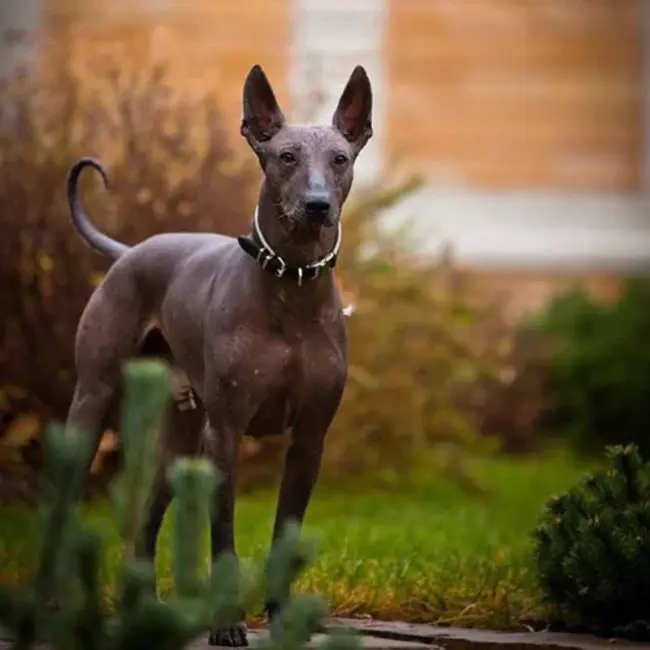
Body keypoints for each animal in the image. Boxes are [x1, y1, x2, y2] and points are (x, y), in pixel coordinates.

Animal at [66, 64, 372, 644]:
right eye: (286, 157)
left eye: (340, 159)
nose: (318, 204)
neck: (292, 285)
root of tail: (131, 251)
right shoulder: (225, 434)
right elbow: (223, 536)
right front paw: (228, 622)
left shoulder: (310, 439)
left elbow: (285, 534)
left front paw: (281, 617)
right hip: (92, 402)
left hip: (179, 435)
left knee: (146, 520)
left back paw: (144, 607)